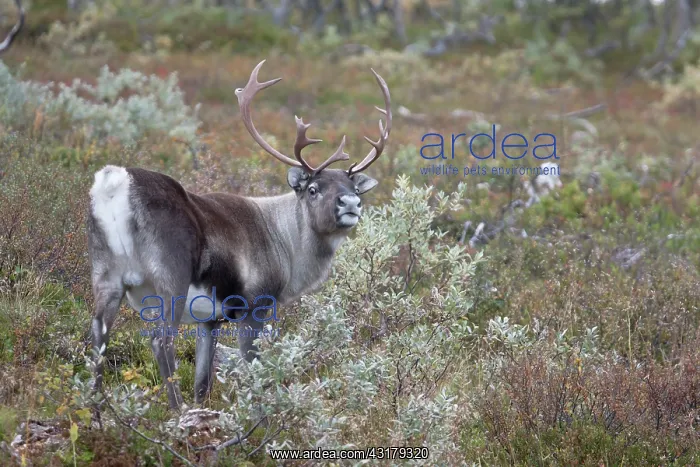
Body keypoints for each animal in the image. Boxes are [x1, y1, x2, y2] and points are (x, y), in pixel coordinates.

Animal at [87, 60, 392, 410]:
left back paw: (96, 411)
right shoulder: (254, 307)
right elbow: (253, 371)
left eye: (355, 188)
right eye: (313, 189)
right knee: (160, 340)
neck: (286, 243)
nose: (350, 203)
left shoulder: (209, 320)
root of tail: (115, 184)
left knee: (97, 337)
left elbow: (203, 382)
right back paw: (176, 410)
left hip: (106, 275)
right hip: (170, 279)